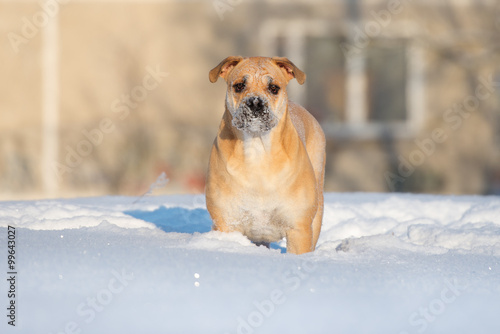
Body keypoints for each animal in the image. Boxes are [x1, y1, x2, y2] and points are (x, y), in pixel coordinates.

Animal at [205, 56, 326, 254]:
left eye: (273, 88)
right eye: (239, 86)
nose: (255, 102)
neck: (257, 148)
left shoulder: (298, 229)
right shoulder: (226, 222)